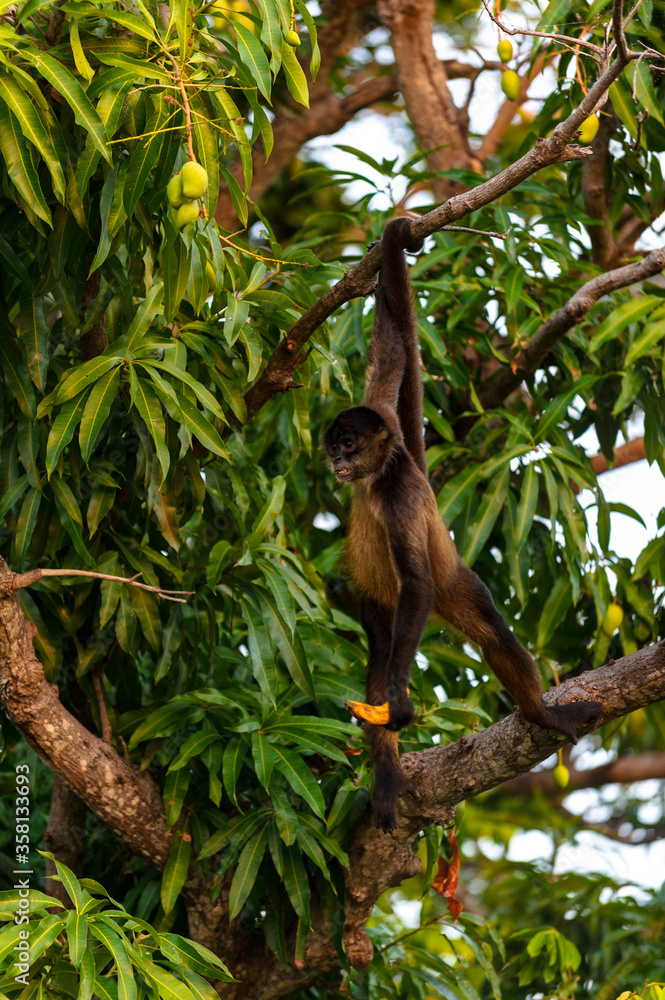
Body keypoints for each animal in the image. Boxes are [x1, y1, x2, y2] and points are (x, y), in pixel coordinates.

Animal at [323, 217, 601, 833]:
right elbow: (392, 348)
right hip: (384, 609)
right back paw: (387, 776)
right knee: (379, 653)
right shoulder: (381, 409)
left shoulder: (401, 495)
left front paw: (400, 698)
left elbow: (417, 580)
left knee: (487, 633)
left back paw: (541, 716)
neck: (385, 470)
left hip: (452, 586)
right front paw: (394, 241)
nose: (335, 463)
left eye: (347, 445)